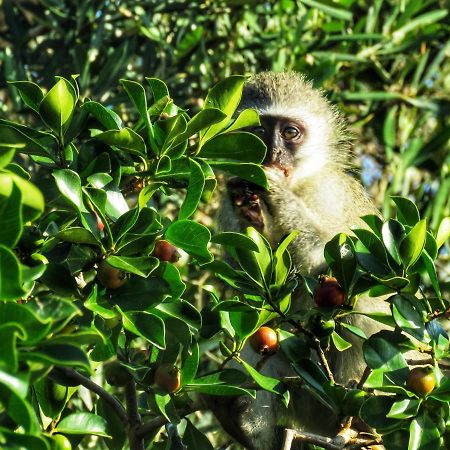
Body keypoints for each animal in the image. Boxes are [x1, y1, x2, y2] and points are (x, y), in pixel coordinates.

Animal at [210, 72, 390, 448]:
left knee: (364, 305)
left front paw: (276, 195)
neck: (302, 183)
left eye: (290, 132)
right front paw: (253, 214)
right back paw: (244, 426)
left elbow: (344, 265)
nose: (273, 153)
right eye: (259, 130)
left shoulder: (329, 193)